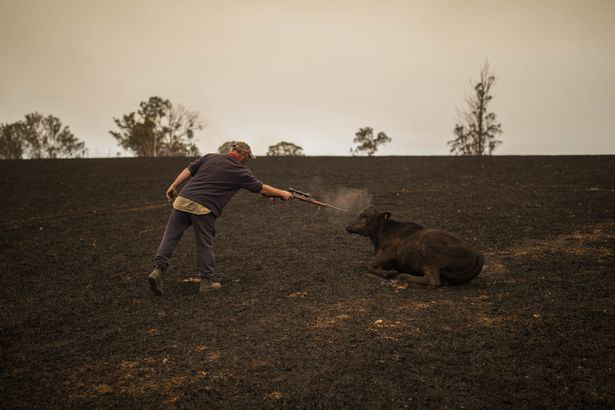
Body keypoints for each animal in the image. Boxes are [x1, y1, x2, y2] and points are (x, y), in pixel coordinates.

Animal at [344, 207, 484, 286]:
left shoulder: (389, 254)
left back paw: (404, 276)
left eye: (366, 216)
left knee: (432, 280)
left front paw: (389, 273)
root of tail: (478, 253)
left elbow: (369, 265)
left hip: (430, 253)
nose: (348, 226)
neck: (382, 234)